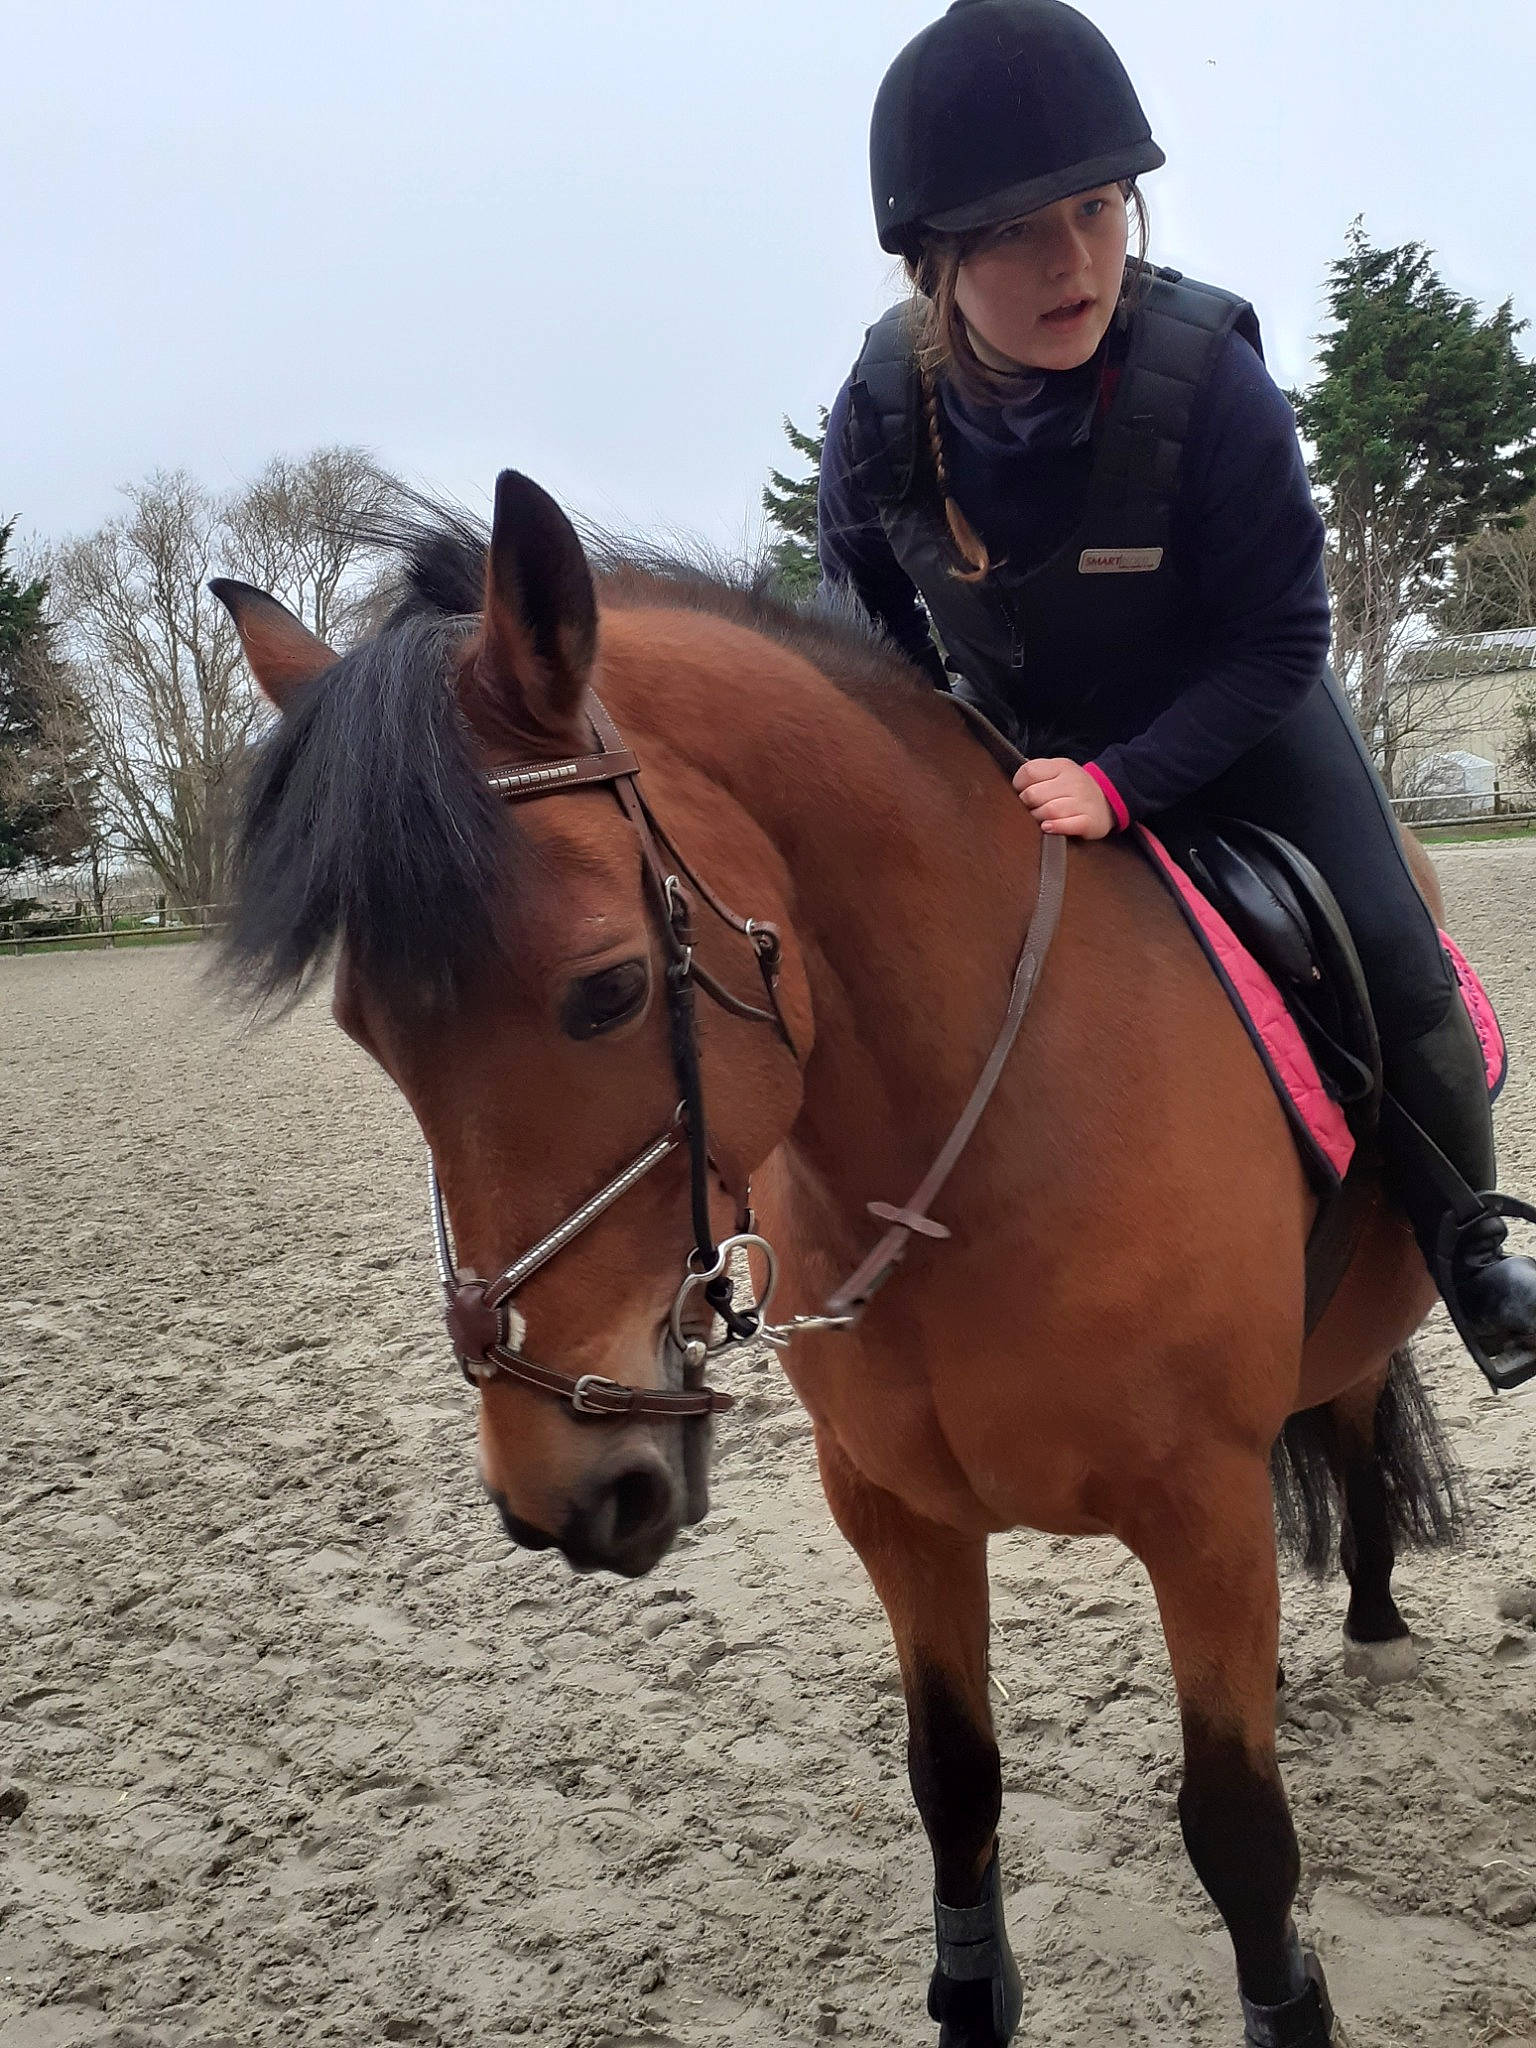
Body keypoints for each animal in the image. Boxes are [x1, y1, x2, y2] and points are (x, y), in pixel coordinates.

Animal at [213, 471, 1464, 2048]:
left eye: (608, 992)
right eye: (363, 1029)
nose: (564, 1485)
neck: (979, 1149)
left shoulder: (1207, 1512)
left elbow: (1240, 1834)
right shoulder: (896, 1514)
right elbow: (955, 1785)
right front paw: (970, 1994)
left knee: (1356, 1416)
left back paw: (1373, 1616)